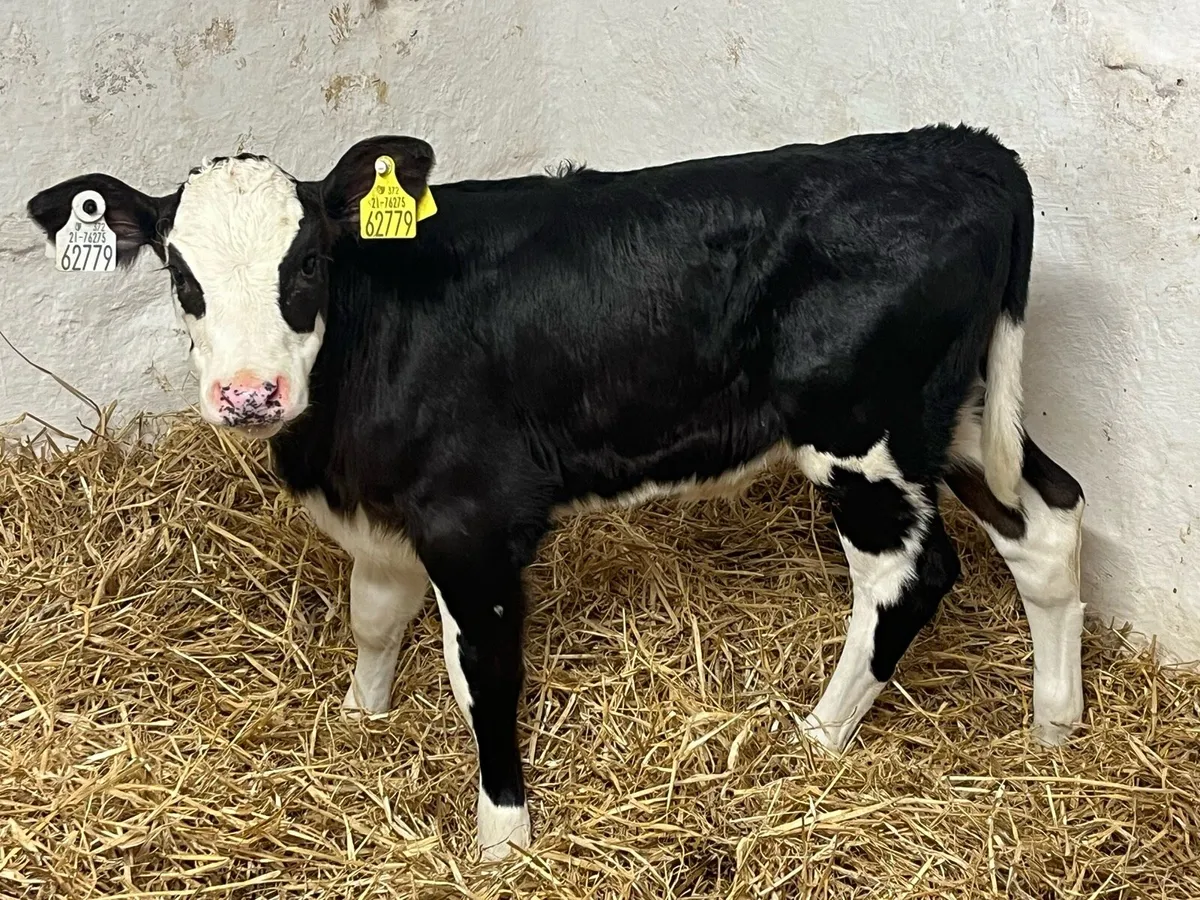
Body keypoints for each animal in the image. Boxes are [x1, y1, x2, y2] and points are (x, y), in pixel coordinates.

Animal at [27, 124, 1086, 860]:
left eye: (310, 262)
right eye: (179, 272)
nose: (249, 395)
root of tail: (965, 148)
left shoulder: (474, 516)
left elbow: (483, 675)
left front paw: (503, 835)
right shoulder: (390, 512)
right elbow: (374, 619)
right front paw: (362, 723)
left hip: (862, 433)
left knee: (910, 576)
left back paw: (816, 738)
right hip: (959, 413)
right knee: (1051, 522)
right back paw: (1054, 728)